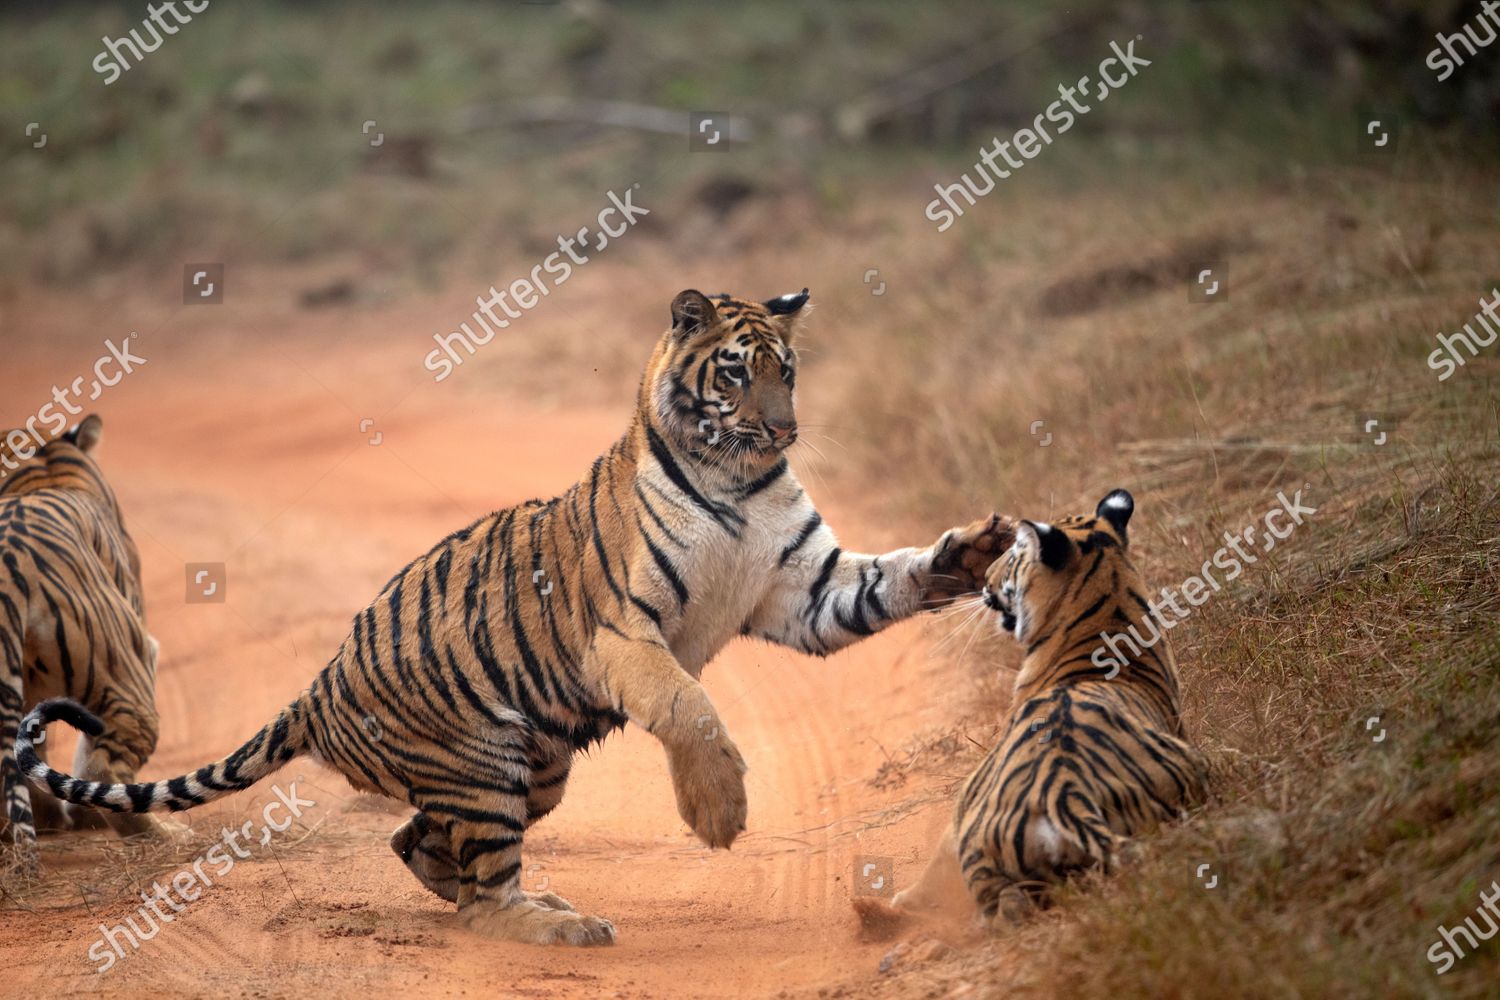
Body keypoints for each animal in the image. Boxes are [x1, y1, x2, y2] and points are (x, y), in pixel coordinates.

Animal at [17, 289, 1014, 947]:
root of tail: (319, 686)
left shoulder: (806, 588)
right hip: (485, 762)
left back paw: (514, 902)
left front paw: (975, 550)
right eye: (736, 373)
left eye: (789, 372)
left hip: (533, 766)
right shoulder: (624, 632)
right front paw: (719, 813)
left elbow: (887, 580)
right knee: (484, 891)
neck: (742, 478)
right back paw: (559, 925)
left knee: (419, 843)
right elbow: (689, 707)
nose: (783, 433)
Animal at [888, 488, 1206, 929]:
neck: (1108, 606)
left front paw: (903, 899)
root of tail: (1065, 796)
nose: (985, 580)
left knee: (1003, 905)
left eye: (1012, 557)